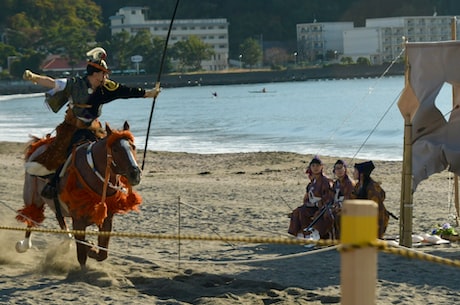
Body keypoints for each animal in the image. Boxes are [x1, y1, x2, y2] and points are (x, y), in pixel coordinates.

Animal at [16, 120, 142, 268]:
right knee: (31, 218)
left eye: (133, 146)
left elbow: (102, 254)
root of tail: (40, 144)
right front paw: (87, 250)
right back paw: (24, 245)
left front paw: (91, 248)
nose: (135, 174)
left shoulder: (106, 219)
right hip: (32, 195)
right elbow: (81, 255)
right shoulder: (78, 221)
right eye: (116, 149)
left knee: (59, 218)